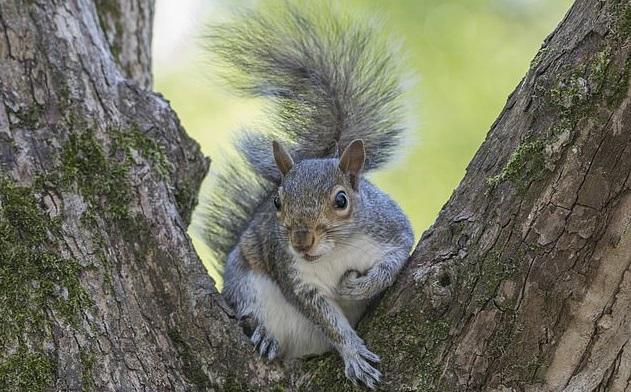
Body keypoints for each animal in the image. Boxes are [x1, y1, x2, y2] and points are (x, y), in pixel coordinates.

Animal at [202, 2, 418, 388]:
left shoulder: (391, 228)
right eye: (277, 202)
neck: (335, 252)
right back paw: (263, 335)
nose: (302, 242)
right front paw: (353, 354)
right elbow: (327, 321)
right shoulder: (296, 278)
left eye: (341, 200)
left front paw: (358, 287)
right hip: (245, 282)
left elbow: (394, 261)